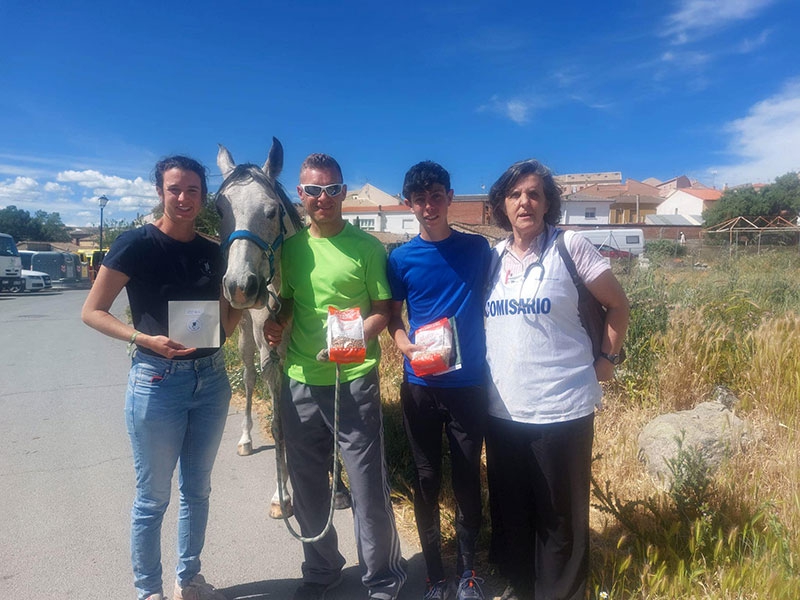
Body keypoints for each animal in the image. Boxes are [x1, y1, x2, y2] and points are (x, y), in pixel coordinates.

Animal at [216, 138, 350, 516]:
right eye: (219, 211)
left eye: (272, 211)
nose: (240, 286)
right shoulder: (273, 357)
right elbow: (279, 425)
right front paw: (282, 494)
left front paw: (338, 487)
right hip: (247, 338)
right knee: (248, 379)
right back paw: (246, 439)